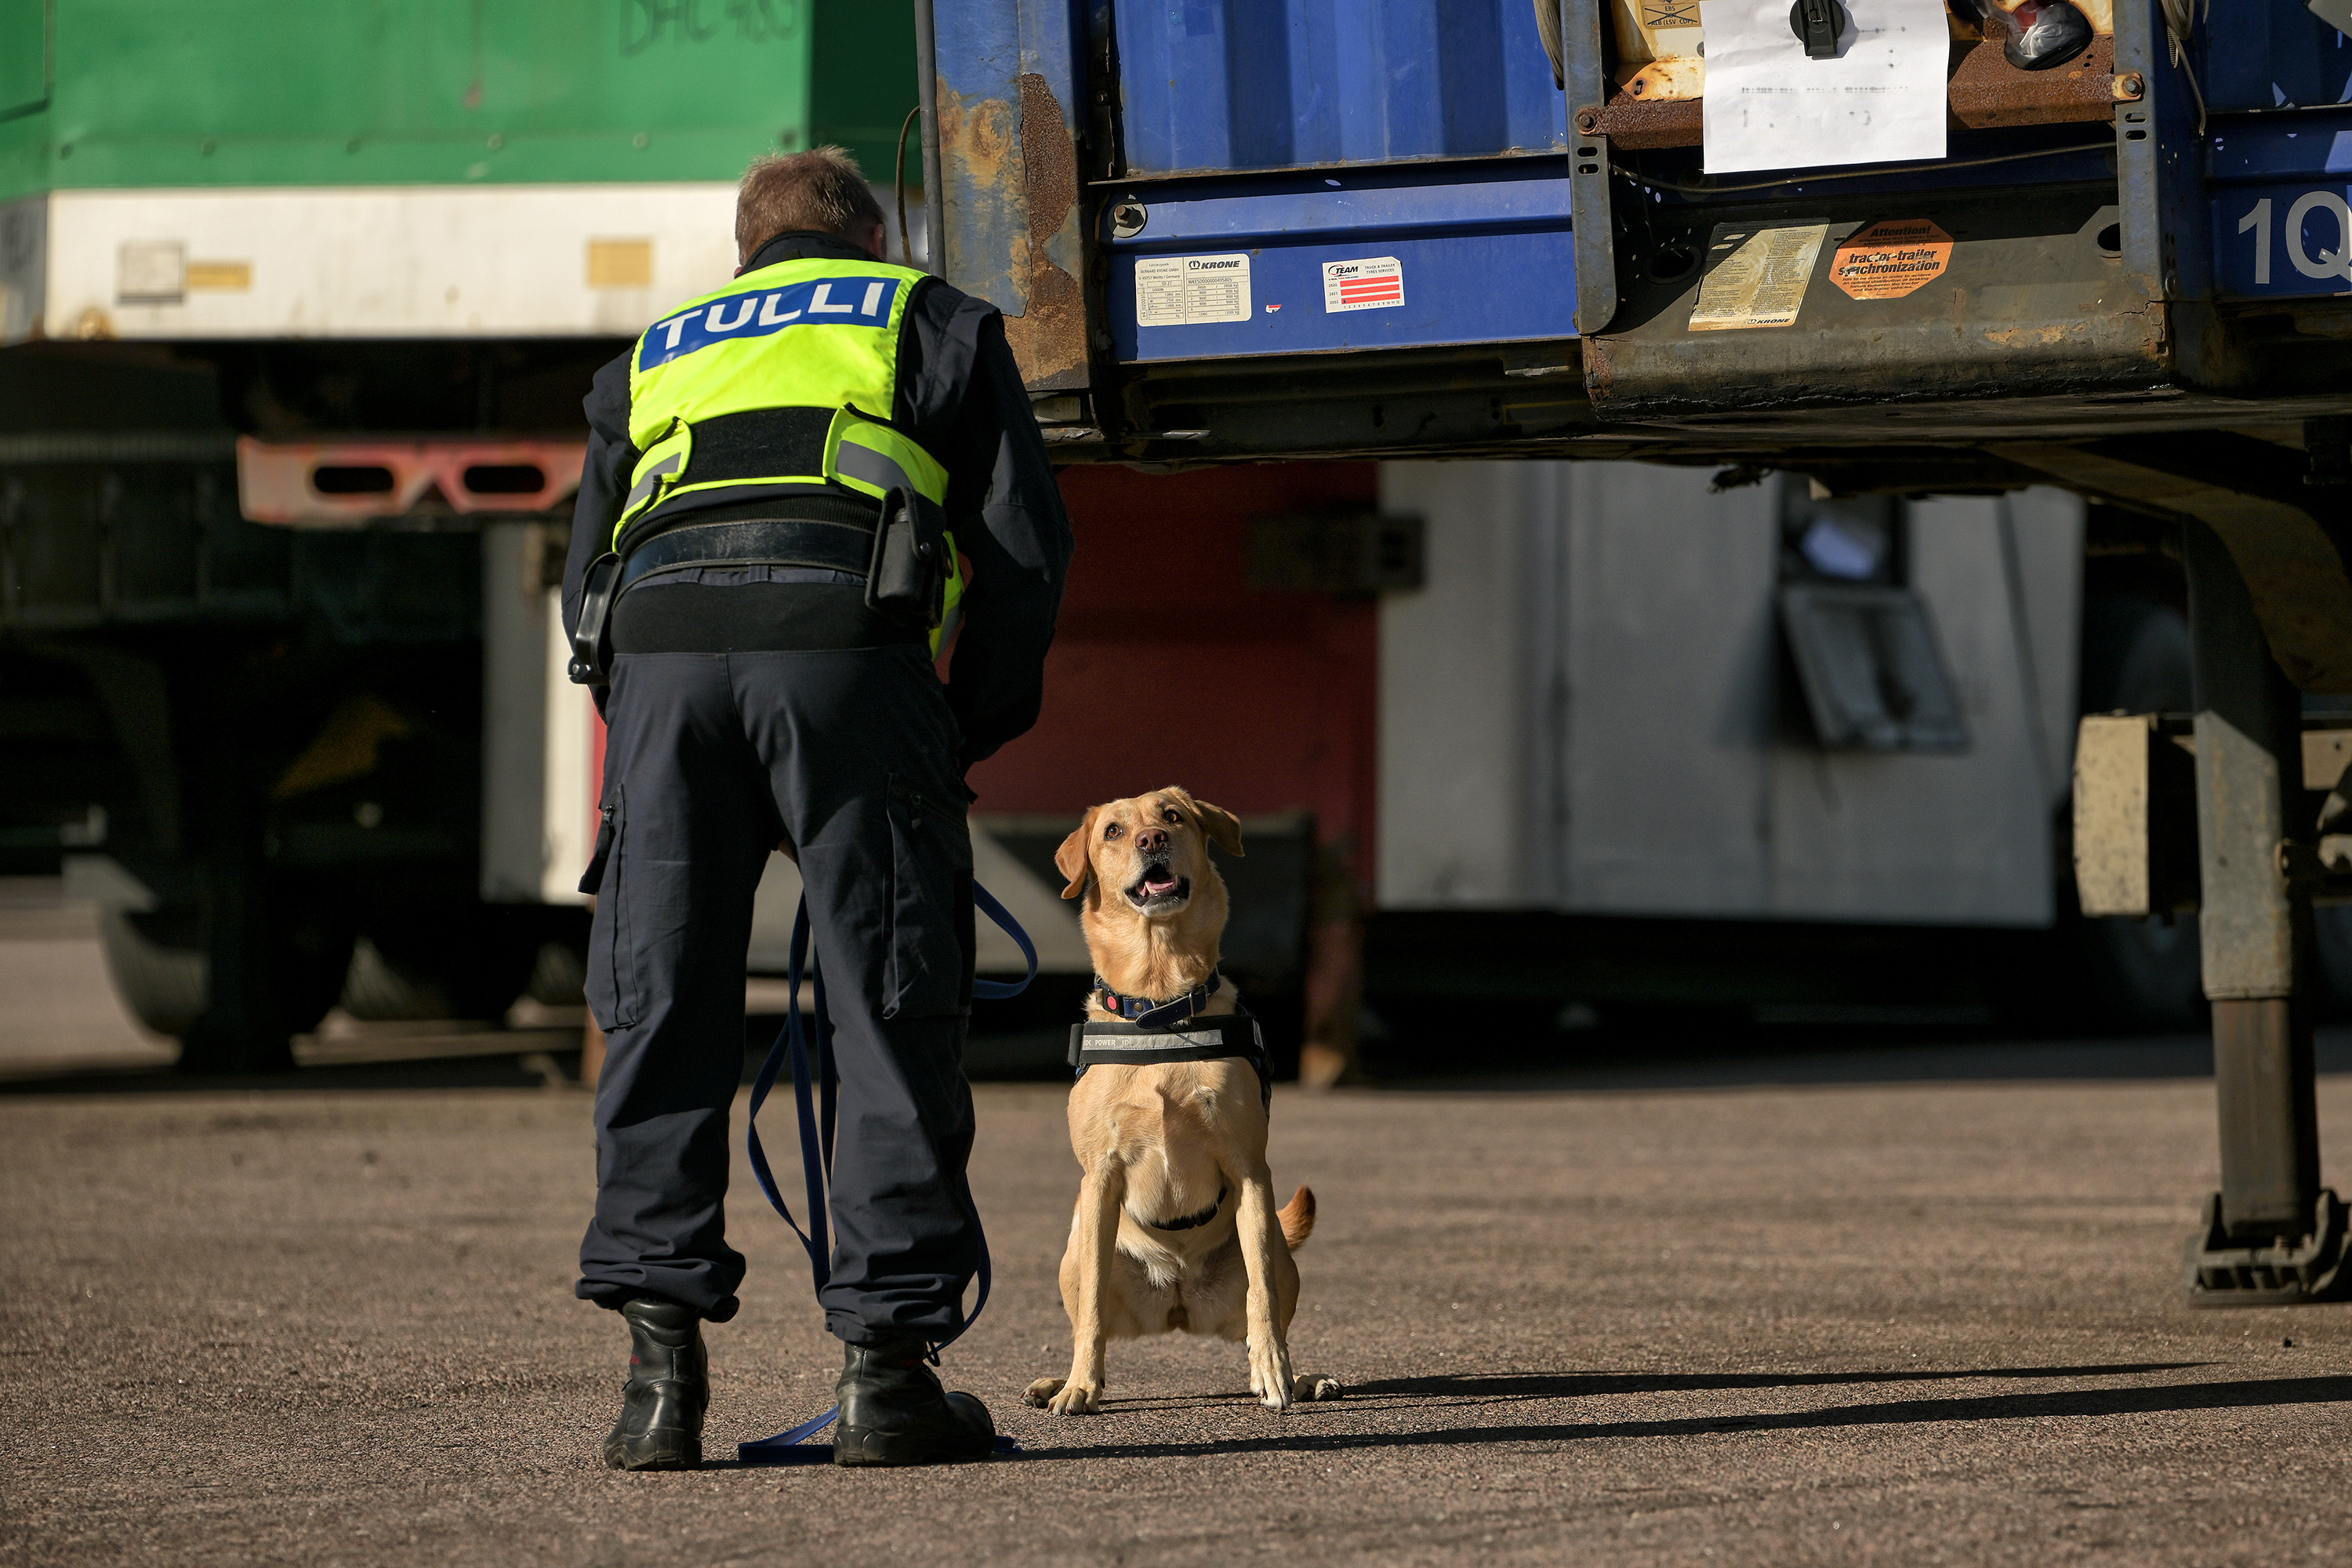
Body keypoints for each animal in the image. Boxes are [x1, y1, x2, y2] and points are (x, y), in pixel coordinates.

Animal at [1016, 789, 1336, 1420]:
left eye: (1173, 817)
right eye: (1114, 831)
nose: (1151, 841)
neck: (1160, 1003)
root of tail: (1179, 1306)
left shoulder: (1249, 1170)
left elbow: (1262, 1300)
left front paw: (1276, 1373)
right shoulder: (1100, 1179)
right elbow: (1092, 1314)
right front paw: (1080, 1386)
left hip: (1279, 1254)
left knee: (1261, 1300)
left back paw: (1302, 1376)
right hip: (1075, 1249)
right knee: (1088, 1309)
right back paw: (1056, 1381)